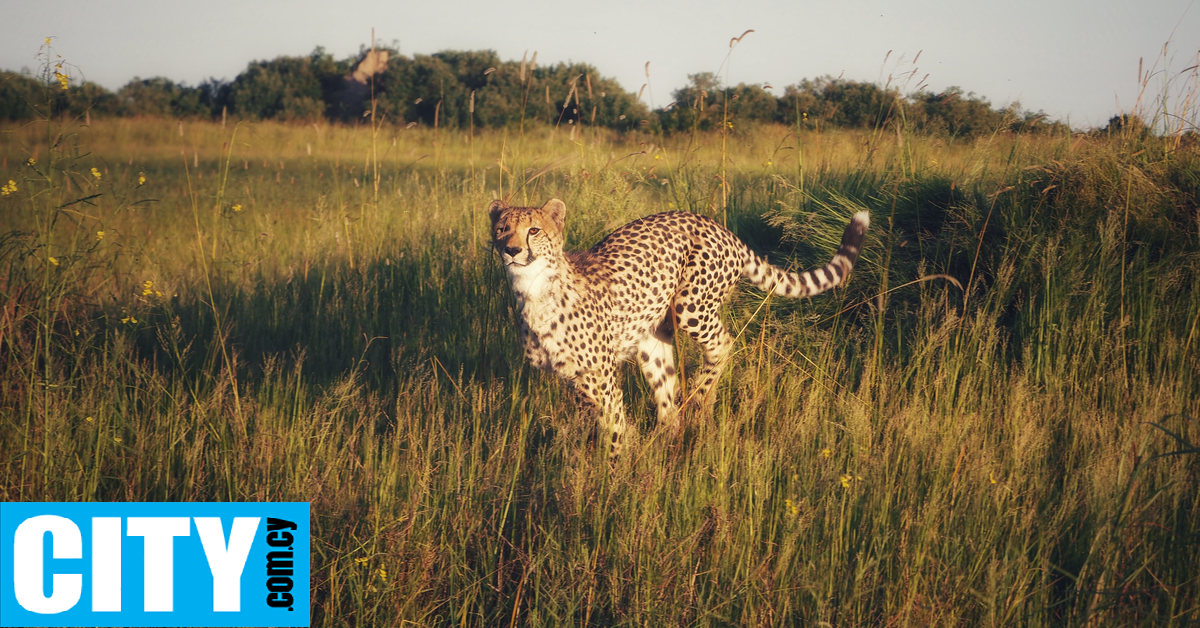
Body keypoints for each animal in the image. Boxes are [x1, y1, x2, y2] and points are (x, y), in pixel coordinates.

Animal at [489, 200, 873, 461]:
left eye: (534, 230)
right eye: (502, 229)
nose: (511, 250)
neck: (534, 289)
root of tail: (712, 223)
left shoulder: (601, 379)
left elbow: (613, 431)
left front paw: (608, 489)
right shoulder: (575, 379)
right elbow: (606, 426)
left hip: (691, 306)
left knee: (723, 344)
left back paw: (701, 399)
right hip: (652, 340)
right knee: (668, 403)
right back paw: (666, 440)